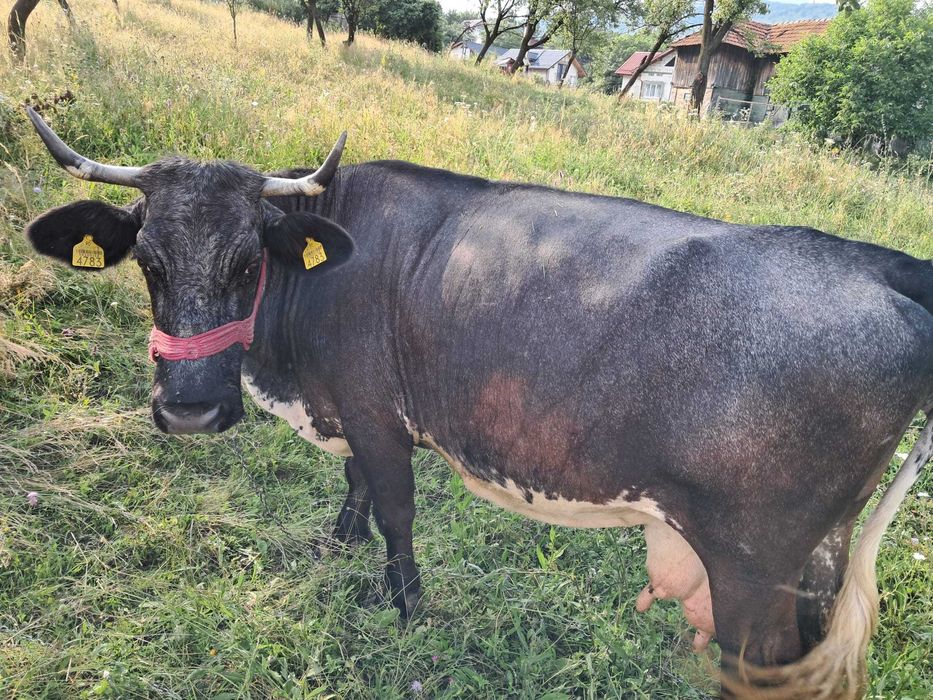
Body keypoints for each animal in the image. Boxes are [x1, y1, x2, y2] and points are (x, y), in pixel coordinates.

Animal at [22, 106, 933, 699]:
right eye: (147, 261)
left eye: (249, 262)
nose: (189, 412)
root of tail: (876, 262)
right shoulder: (350, 412)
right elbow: (353, 489)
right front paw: (338, 543)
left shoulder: (377, 417)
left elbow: (393, 508)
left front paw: (404, 604)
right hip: (819, 557)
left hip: (753, 568)